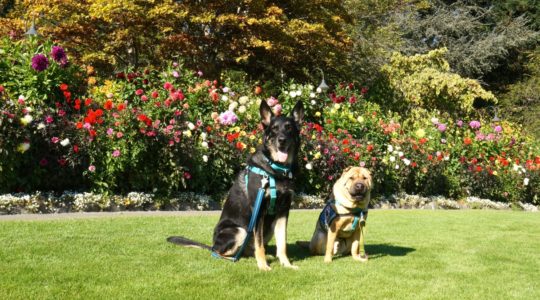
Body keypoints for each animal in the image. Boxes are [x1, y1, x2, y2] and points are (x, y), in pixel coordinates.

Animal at [168, 99, 304, 270]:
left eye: (289, 128)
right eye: (274, 129)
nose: (281, 140)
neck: (276, 168)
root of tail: (212, 244)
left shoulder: (283, 211)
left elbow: (282, 243)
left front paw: (286, 264)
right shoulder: (259, 211)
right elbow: (260, 245)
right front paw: (263, 266)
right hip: (239, 231)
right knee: (220, 252)